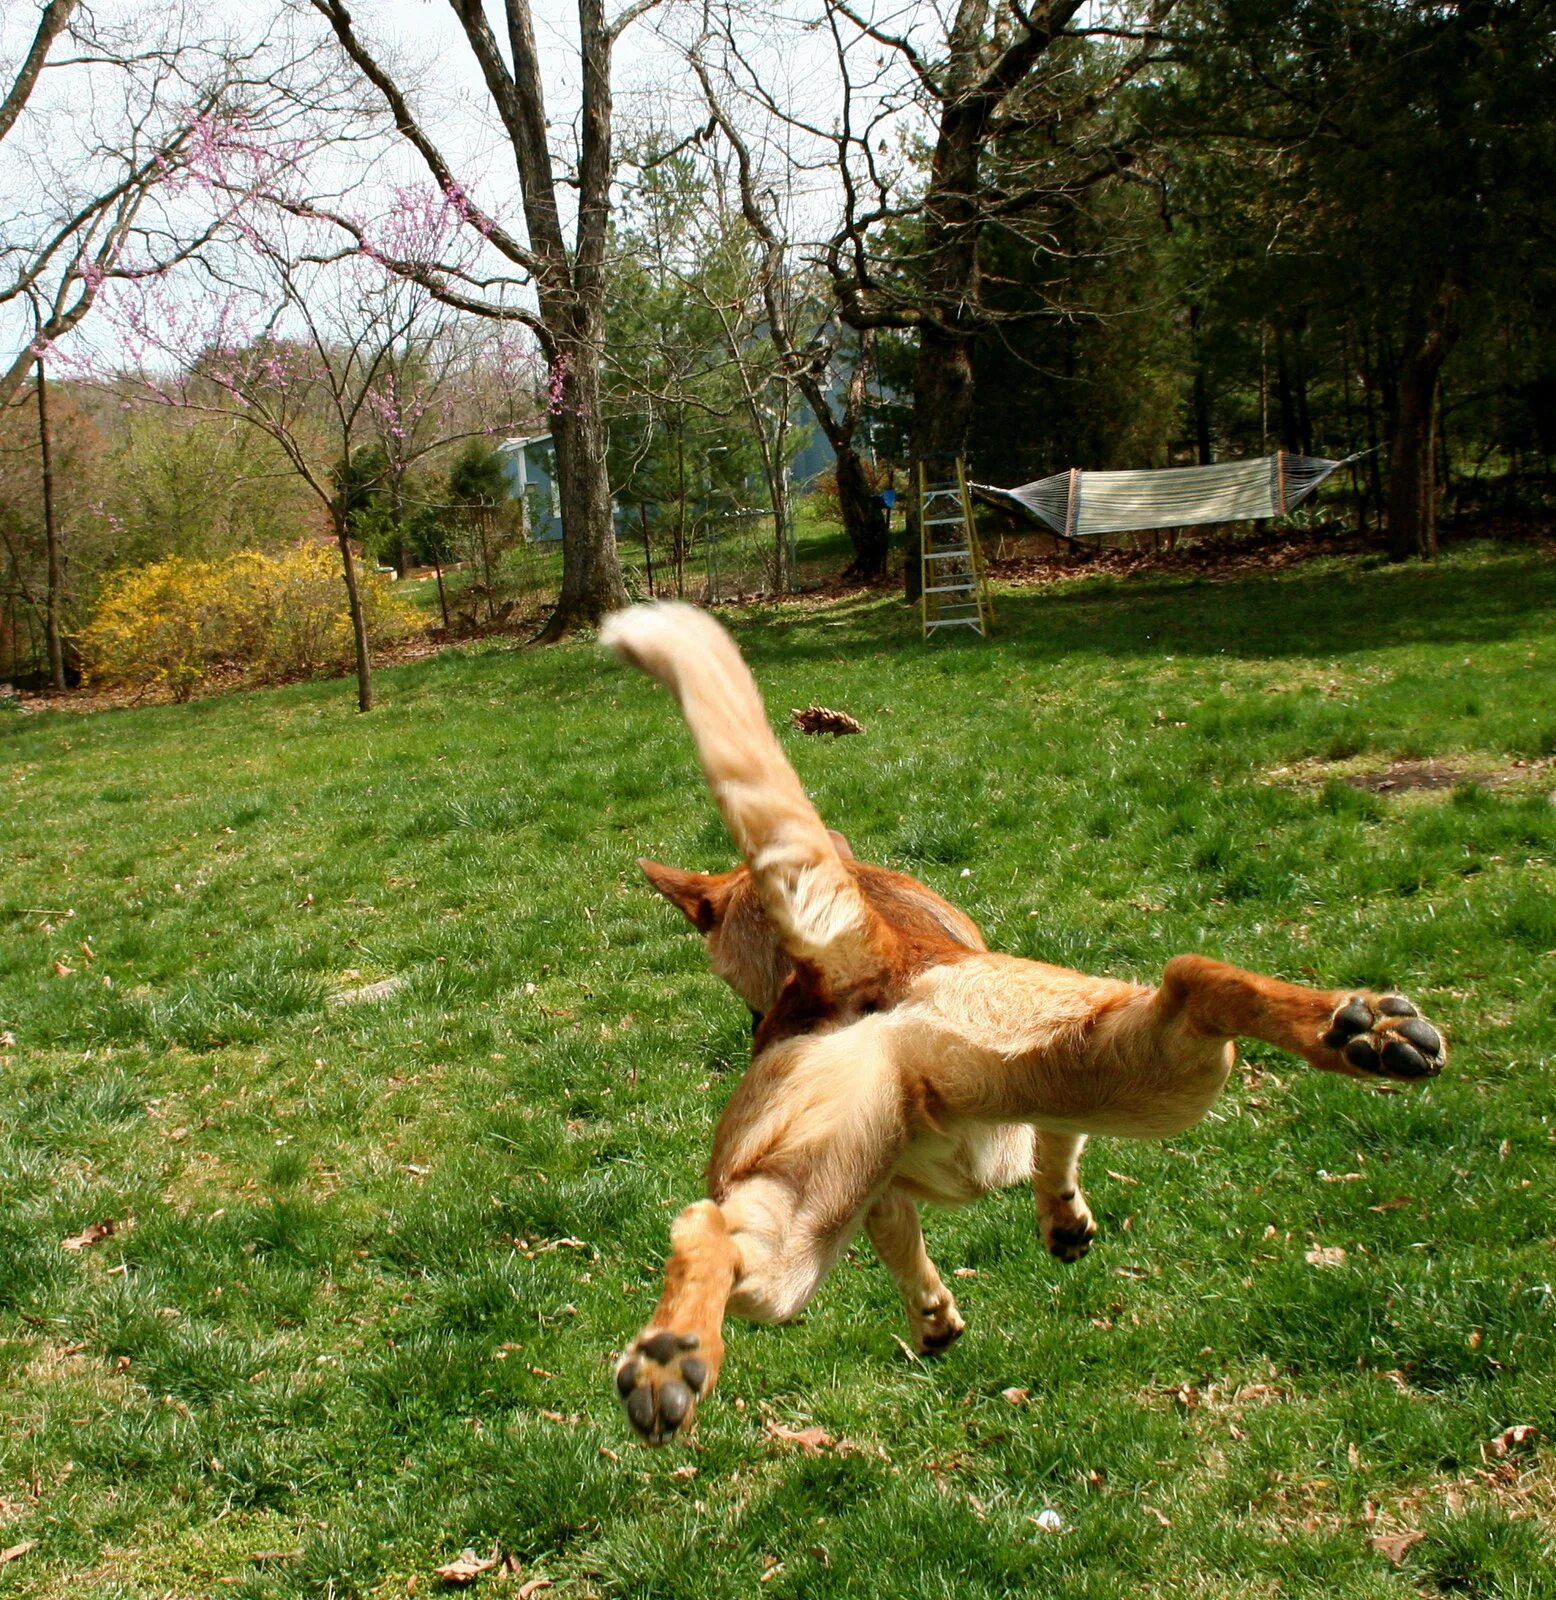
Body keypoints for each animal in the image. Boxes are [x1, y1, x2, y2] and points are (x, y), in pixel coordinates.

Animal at [605, 601, 1447, 1452]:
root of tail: (862, 960)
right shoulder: (1039, 1105)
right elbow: (1053, 1150)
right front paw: (1057, 1221)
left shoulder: (886, 1188)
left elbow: (920, 1233)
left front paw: (949, 1306)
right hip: (1162, 1077)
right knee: (1194, 979)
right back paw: (1363, 1027)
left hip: (794, 1234)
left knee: (705, 1228)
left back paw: (668, 1359)